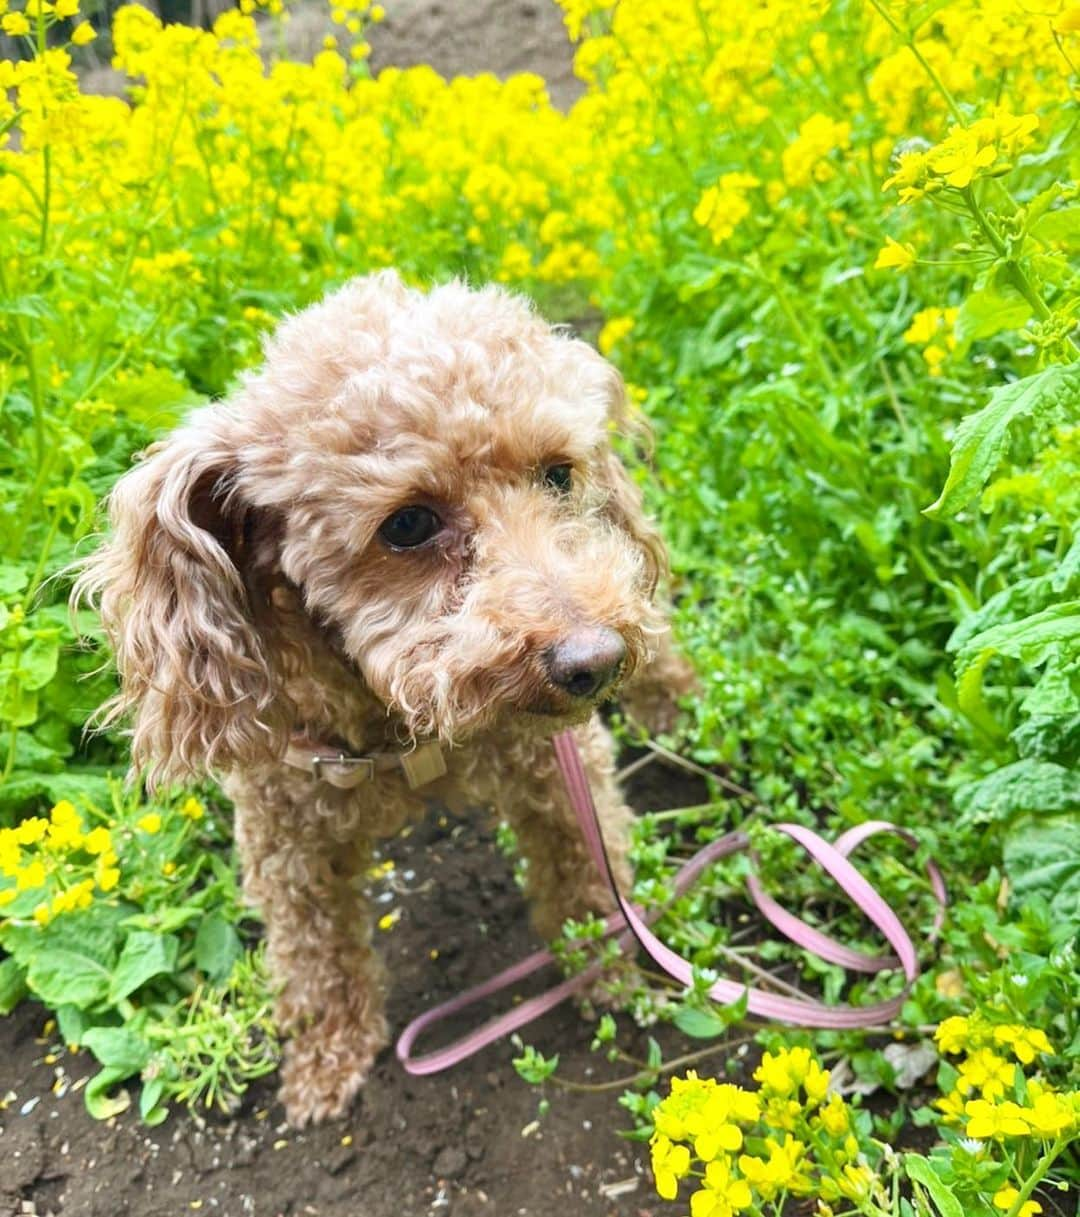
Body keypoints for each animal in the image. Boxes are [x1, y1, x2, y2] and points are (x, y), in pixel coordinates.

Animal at [80, 271, 696, 1124]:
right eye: (406, 523)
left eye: (557, 474)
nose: (592, 662)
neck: (398, 727)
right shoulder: (284, 828)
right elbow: (313, 950)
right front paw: (327, 1059)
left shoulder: (559, 772)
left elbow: (585, 872)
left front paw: (607, 977)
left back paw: (674, 712)